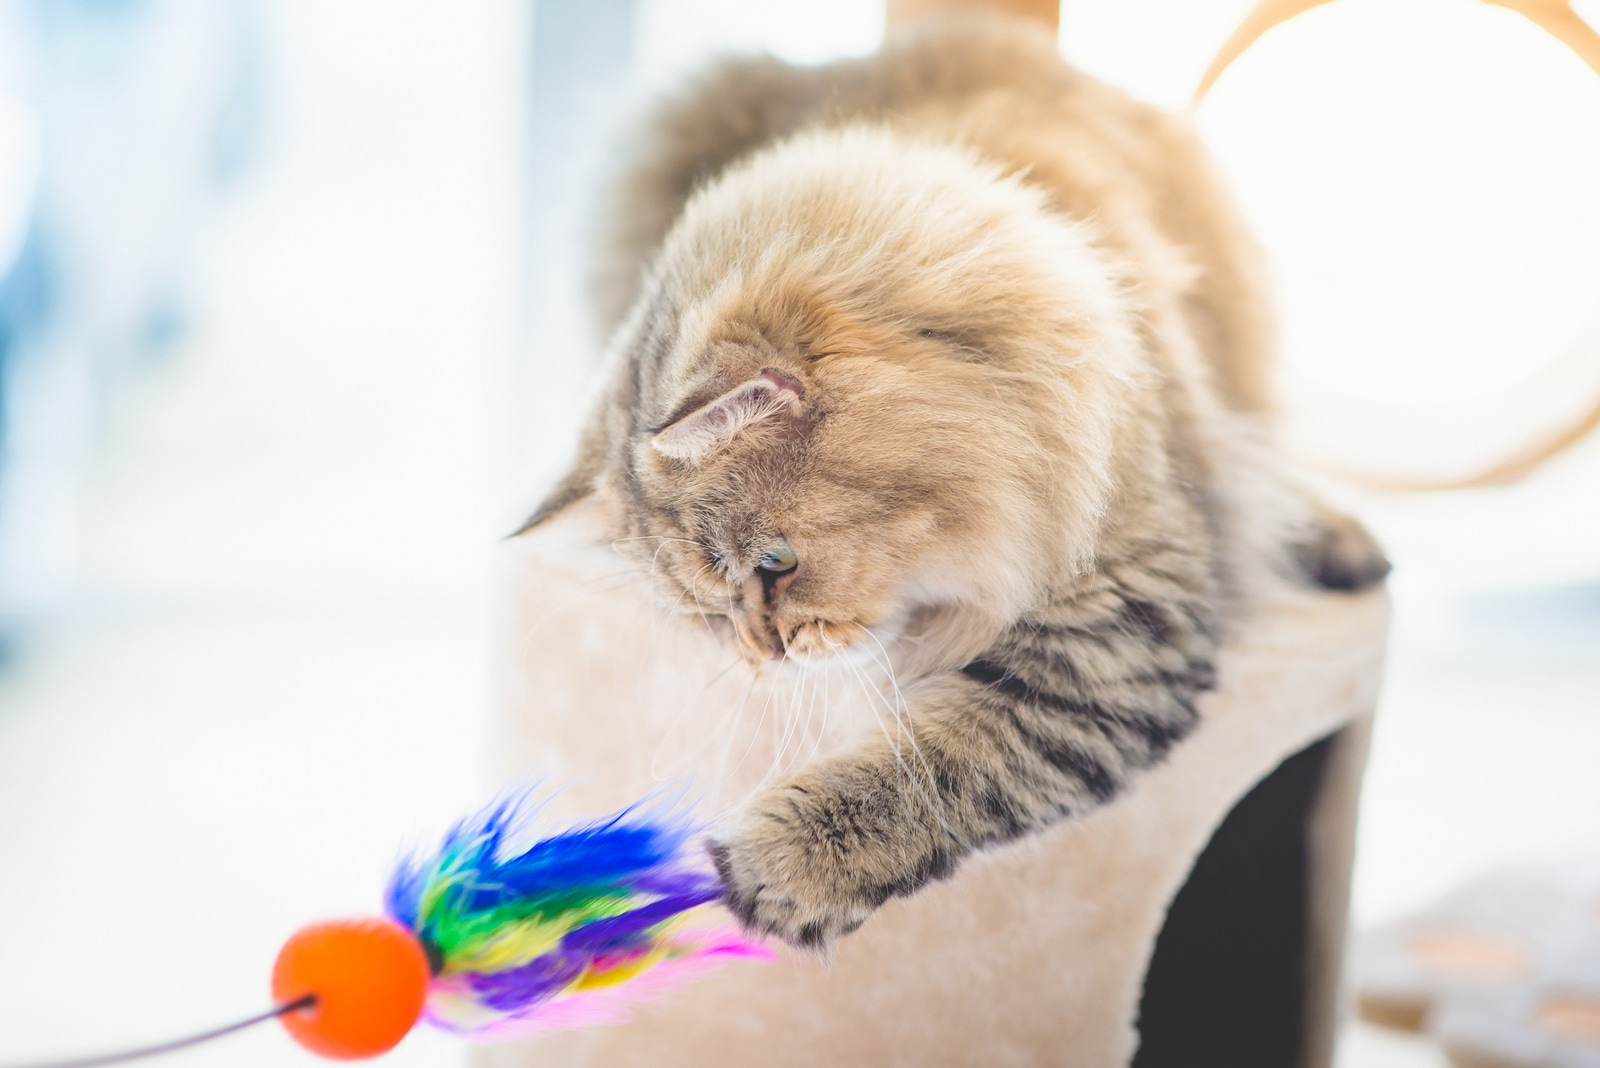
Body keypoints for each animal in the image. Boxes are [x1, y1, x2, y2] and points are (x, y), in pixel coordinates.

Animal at [515, 12, 1388, 952]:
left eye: (776, 566)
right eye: (709, 615)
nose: (765, 655)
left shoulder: (1114, 629)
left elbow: (935, 764)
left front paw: (767, 872)